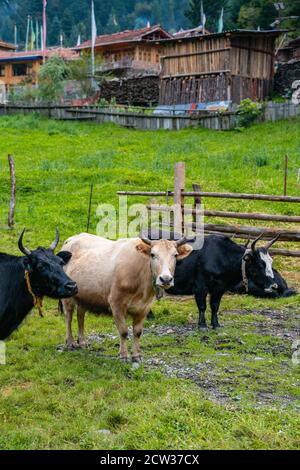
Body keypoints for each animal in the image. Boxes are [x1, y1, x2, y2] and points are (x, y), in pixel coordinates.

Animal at [61, 233, 192, 362]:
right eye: (152, 254)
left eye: (175, 255)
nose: (165, 279)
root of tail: (72, 238)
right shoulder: (116, 304)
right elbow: (123, 331)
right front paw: (123, 355)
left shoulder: (144, 307)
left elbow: (137, 332)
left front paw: (137, 355)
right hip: (68, 295)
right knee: (68, 317)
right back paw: (70, 342)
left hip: (84, 296)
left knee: (80, 316)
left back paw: (82, 342)